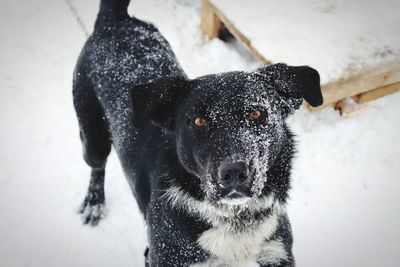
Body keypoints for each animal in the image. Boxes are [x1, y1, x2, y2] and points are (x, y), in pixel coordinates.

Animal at [72, 1, 322, 266]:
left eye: (256, 113)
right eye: (199, 121)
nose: (234, 173)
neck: (234, 216)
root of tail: (116, 20)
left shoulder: (277, 252)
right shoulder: (161, 256)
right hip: (92, 134)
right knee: (97, 167)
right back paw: (93, 204)